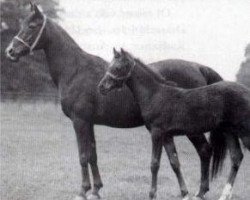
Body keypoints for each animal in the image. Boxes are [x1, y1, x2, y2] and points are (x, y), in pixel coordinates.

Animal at [98, 48, 250, 200]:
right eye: (110, 66)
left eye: (118, 67)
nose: (101, 87)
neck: (155, 94)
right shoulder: (167, 136)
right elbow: (174, 162)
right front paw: (185, 194)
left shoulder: (156, 133)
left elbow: (154, 163)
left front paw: (152, 194)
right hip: (229, 131)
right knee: (236, 157)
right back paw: (223, 195)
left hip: (243, 133)